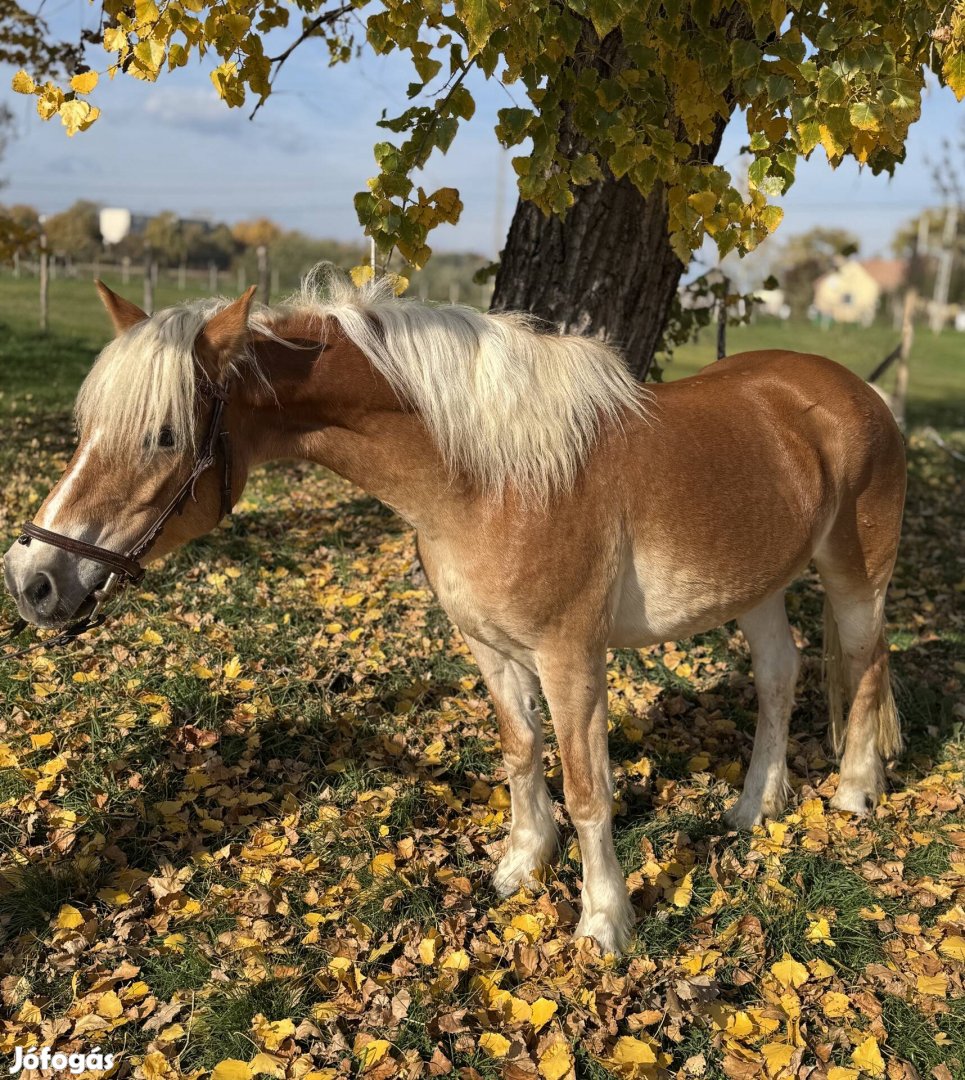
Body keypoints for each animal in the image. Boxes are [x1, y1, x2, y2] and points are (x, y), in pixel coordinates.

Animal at [3, 272, 906, 954]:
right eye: (87, 427)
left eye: (162, 435)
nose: (33, 579)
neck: (492, 479)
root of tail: (854, 389)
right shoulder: (491, 650)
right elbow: (520, 753)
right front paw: (522, 865)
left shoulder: (570, 657)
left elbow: (588, 788)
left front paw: (603, 923)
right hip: (755, 587)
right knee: (780, 675)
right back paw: (756, 806)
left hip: (853, 573)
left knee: (865, 663)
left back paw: (855, 793)